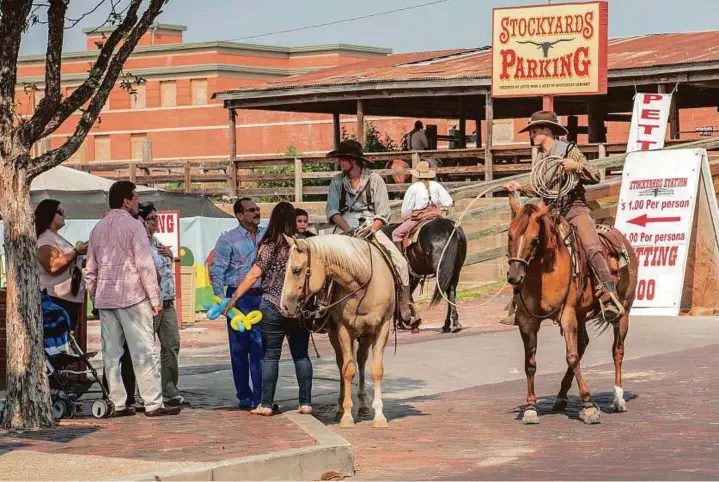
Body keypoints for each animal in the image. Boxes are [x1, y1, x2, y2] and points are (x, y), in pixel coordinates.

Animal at [282, 235, 394, 428]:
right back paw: (341, 408)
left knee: (361, 361)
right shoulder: (343, 329)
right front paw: (346, 416)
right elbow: (347, 369)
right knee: (342, 364)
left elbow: (376, 369)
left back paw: (363, 405)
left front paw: (379, 416)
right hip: (335, 335)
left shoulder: (382, 327)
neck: (362, 285)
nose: (284, 306)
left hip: (366, 335)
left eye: (296, 270)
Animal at [506, 194, 640, 424]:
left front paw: (588, 406)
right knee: (583, 343)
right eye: (509, 235)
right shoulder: (526, 321)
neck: (542, 274)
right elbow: (530, 363)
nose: (514, 277)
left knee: (617, 351)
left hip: (623, 312)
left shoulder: (567, 314)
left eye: (534, 240)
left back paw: (618, 398)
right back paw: (561, 398)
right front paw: (530, 408)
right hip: (581, 313)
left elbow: (572, 357)